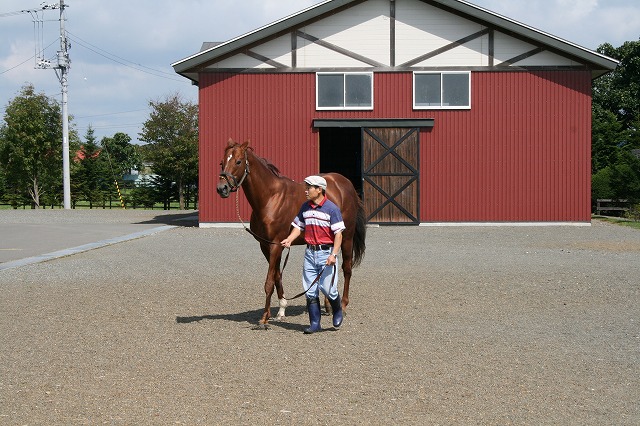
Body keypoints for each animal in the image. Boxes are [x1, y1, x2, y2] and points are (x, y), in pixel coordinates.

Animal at [216, 141, 364, 326]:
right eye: (222, 163)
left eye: (238, 161)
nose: (222, 188)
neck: (270, 198)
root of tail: (346, 185)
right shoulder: (266, 246)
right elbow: (277, 276)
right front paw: (280, 310)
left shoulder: (276, 245)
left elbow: (269, 281)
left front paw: (264, 318)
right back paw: (329, 305)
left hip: (346, 237)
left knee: (347, 269)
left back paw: (342, 306)